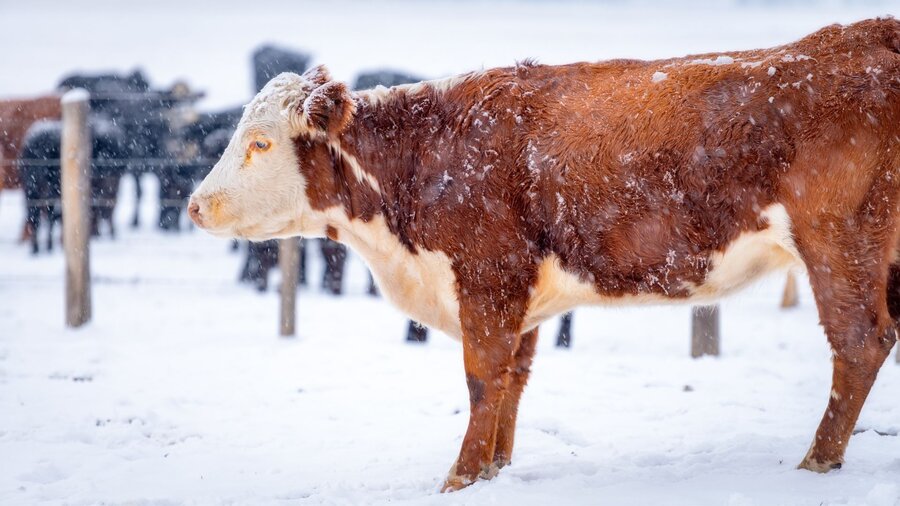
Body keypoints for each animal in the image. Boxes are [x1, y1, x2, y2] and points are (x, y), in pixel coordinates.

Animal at [189, 18, 900, 490]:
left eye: (258, 143)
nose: (196, 205)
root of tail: (861, 33)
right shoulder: (518, 296)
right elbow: (513, 379)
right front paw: (494, 471)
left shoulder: (485, 278)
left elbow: (483, 379)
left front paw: (458, 477)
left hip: (837, 241)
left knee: (860, 341)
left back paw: (817, 461)